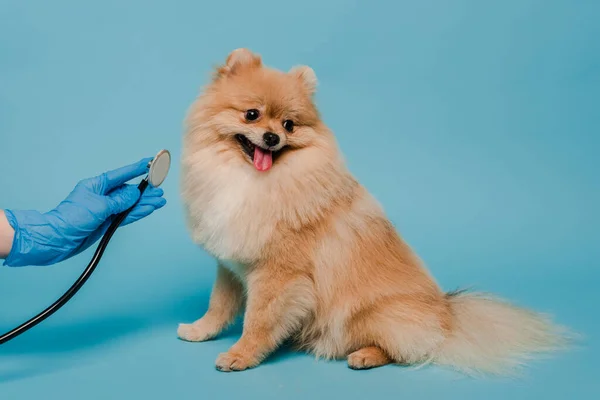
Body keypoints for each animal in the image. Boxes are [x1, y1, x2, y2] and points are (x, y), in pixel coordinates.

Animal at [177, 48, 568, 374]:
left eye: (289, 124)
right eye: (251, 115)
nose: (272, 137)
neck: (253, 182)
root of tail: (447, 314)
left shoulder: (279, 275)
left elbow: (257, 321)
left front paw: (240, 355)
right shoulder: (231, 264)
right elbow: (219, 305)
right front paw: (201, 330)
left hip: (368, 314)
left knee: (405, 349)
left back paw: (365, 355)